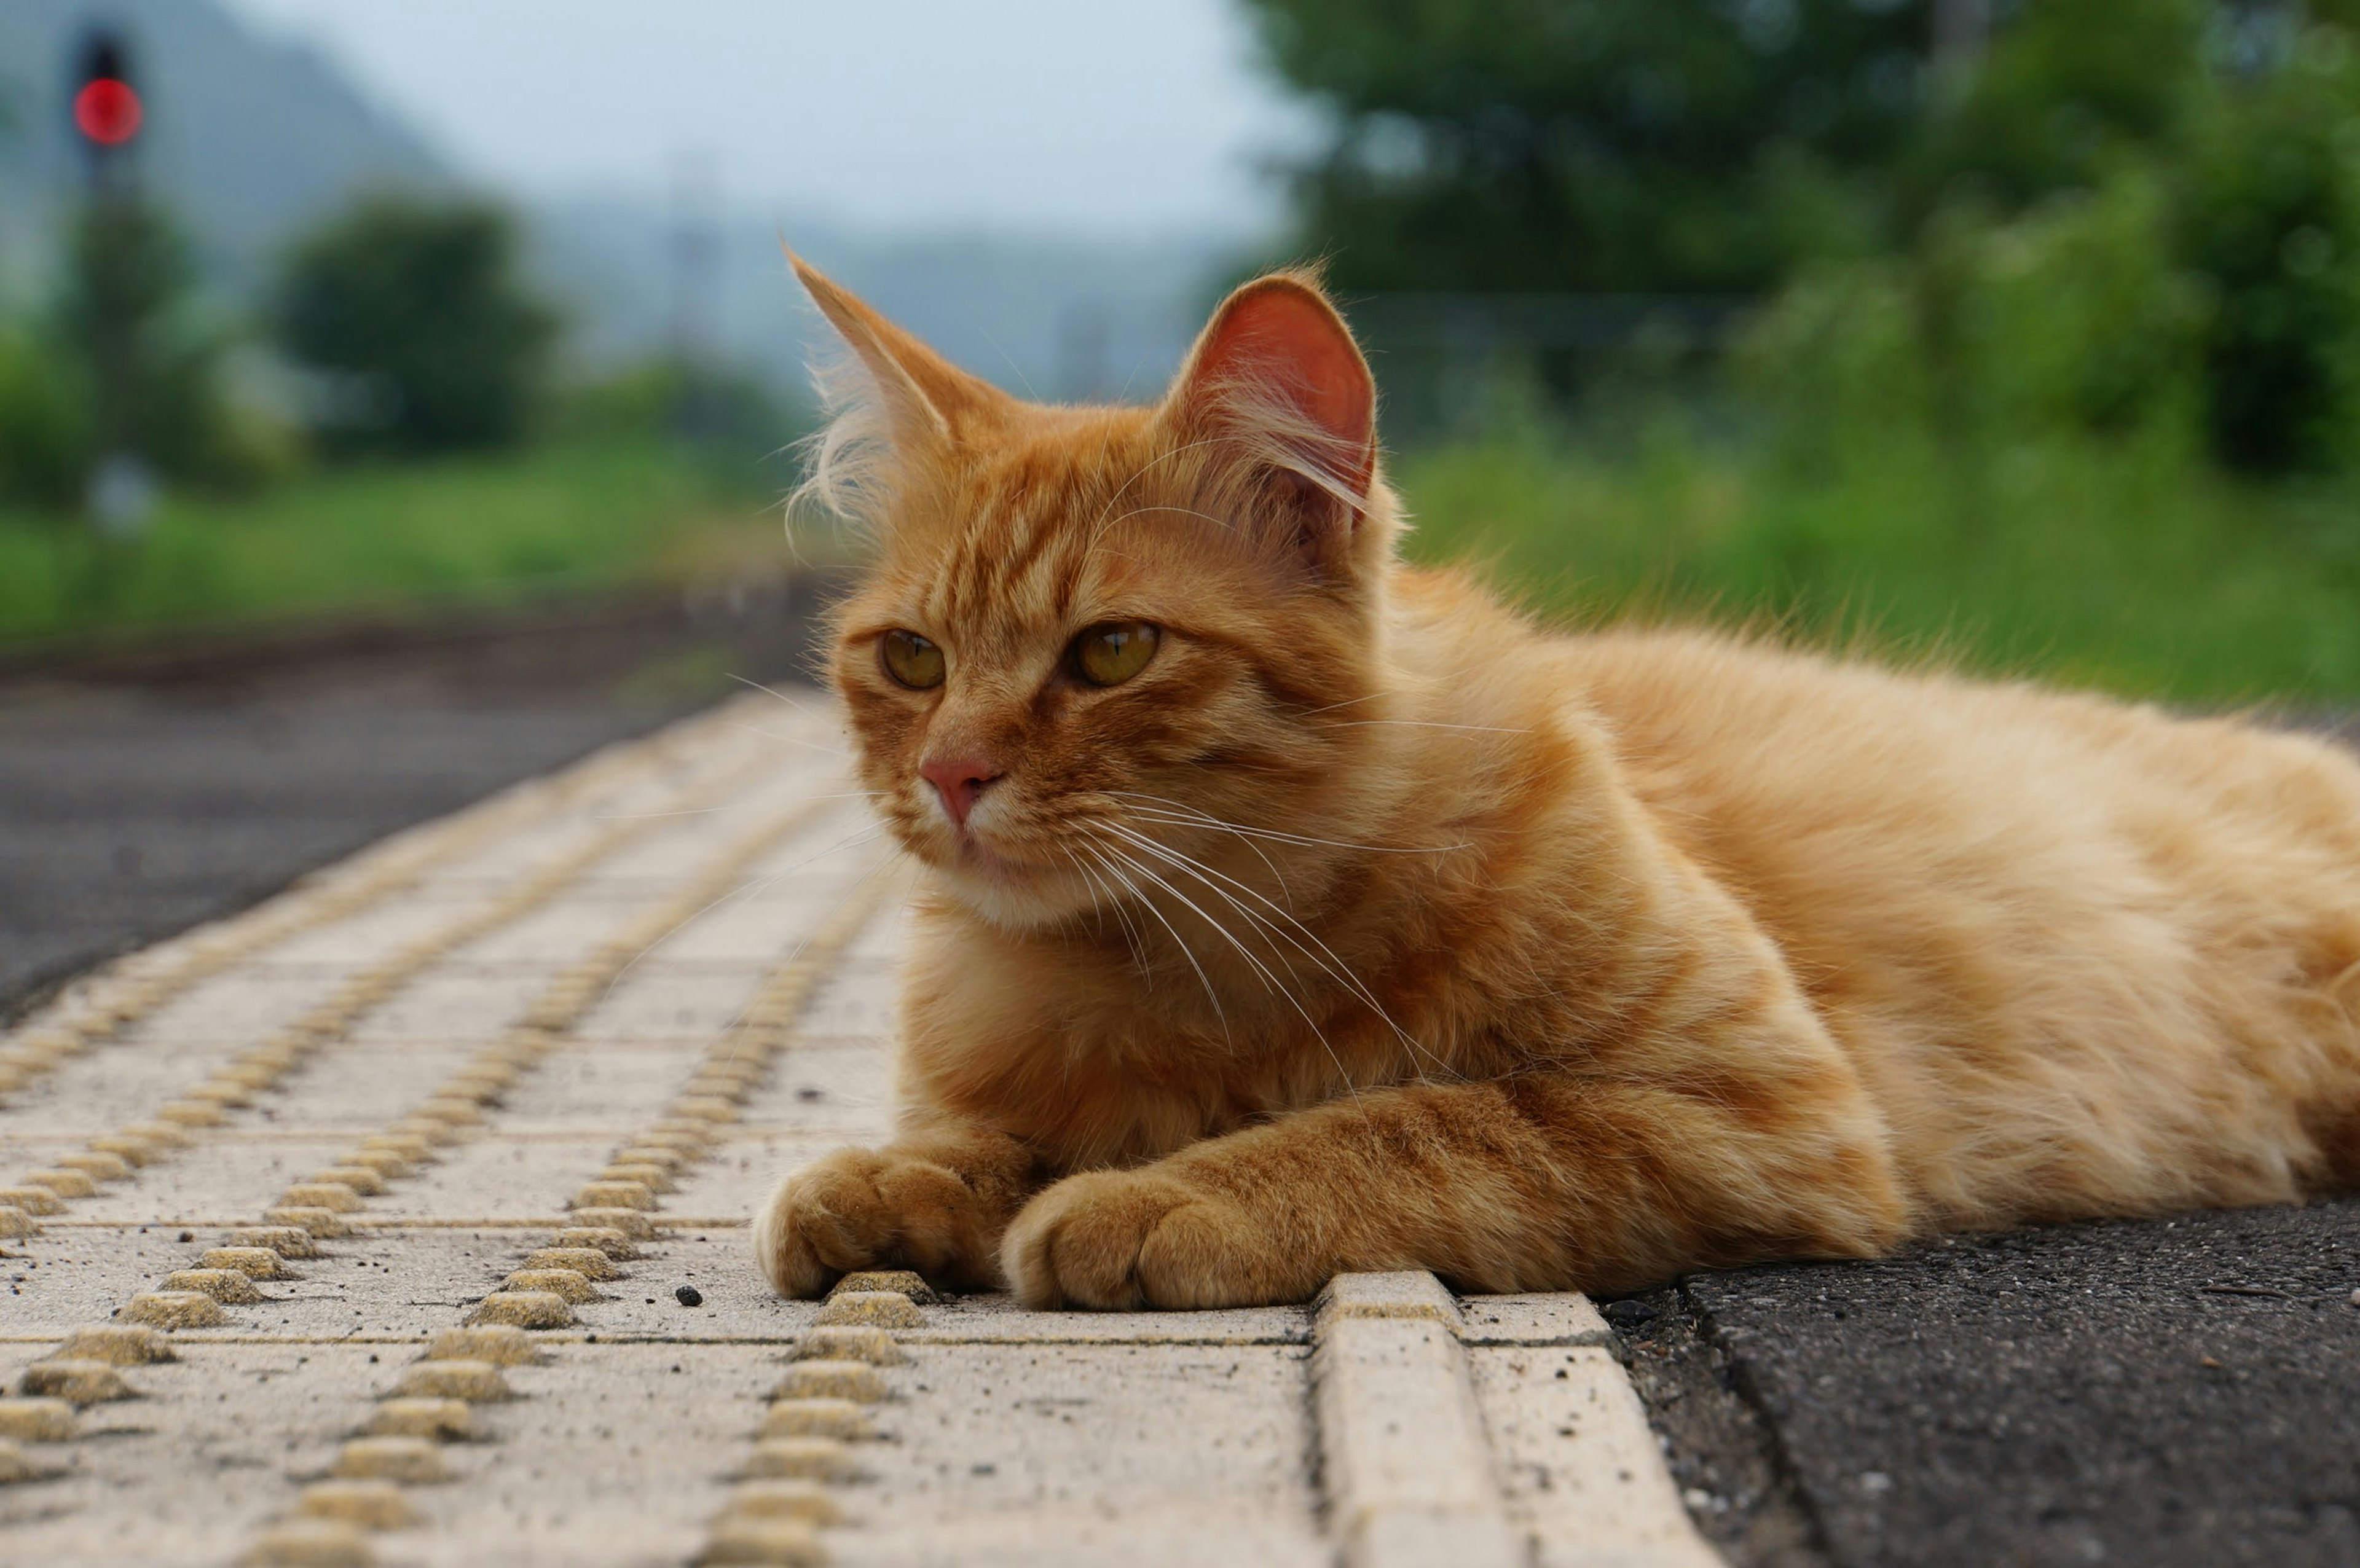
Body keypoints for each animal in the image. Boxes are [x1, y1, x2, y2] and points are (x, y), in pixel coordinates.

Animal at [750, 259, 2360, 1311]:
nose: (951, 773)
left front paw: (1156, 1193)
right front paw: (889, 1183)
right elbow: (969, 1139)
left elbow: (1395, 1125)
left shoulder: (1738, 1109)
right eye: (910, 659)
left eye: (1112, 651)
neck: (1164, 967)